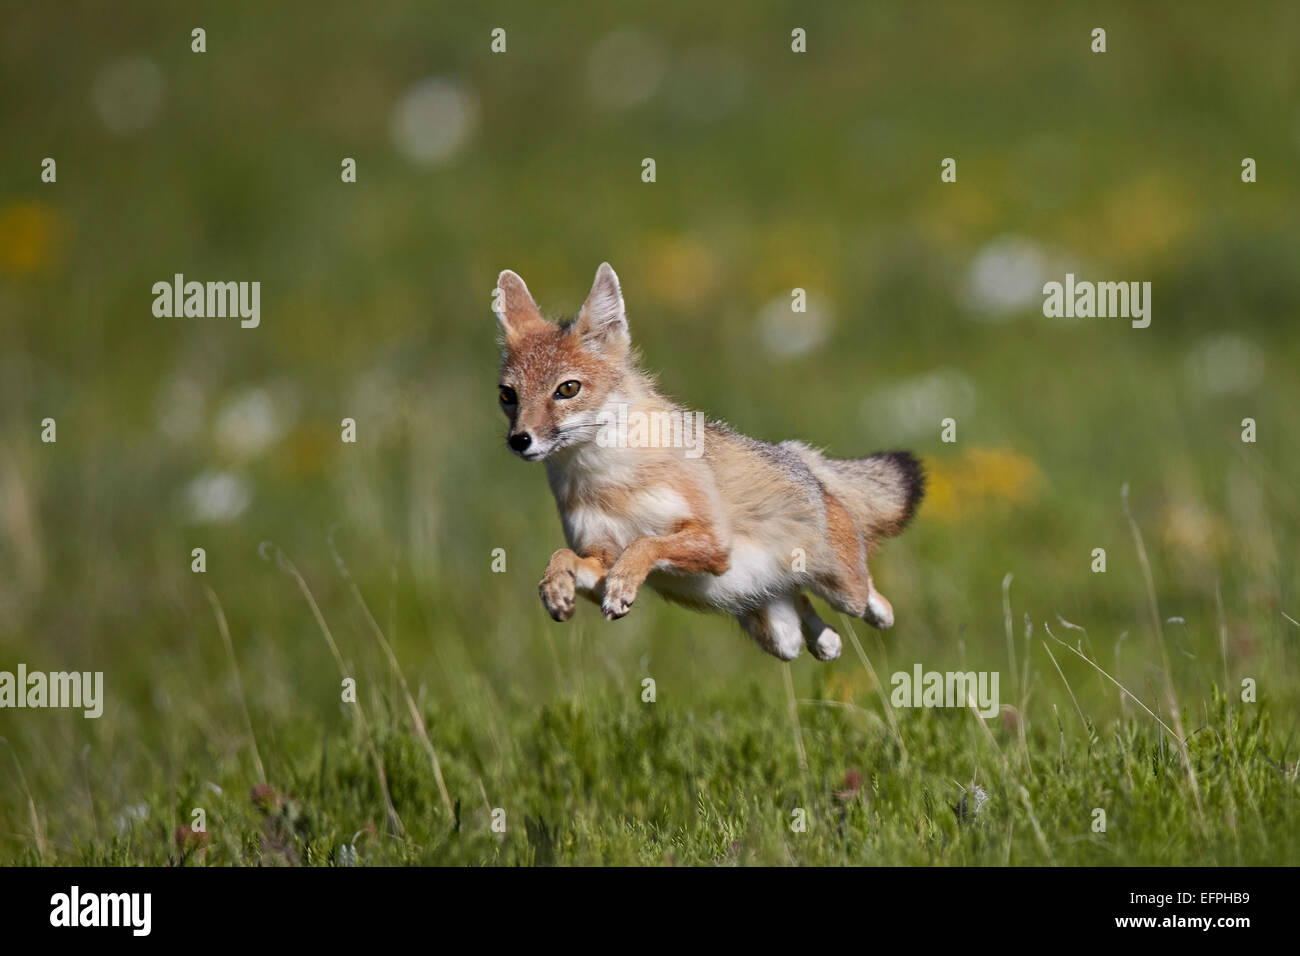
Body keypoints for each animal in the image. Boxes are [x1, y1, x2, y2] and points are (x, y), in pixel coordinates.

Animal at [488, 265, 925, 660]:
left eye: (568, 389)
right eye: (508, 395)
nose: (520, 440)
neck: (609, 484)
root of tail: (801, 461)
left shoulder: (714, 541)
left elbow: (646, 543)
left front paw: (624, 584)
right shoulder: (598, 558)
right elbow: (562, 556)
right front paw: (554, 589)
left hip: (844, 592)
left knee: (872, 602)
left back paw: (873, 616)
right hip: (778, 638)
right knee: (806, 619)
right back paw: (826, 642)